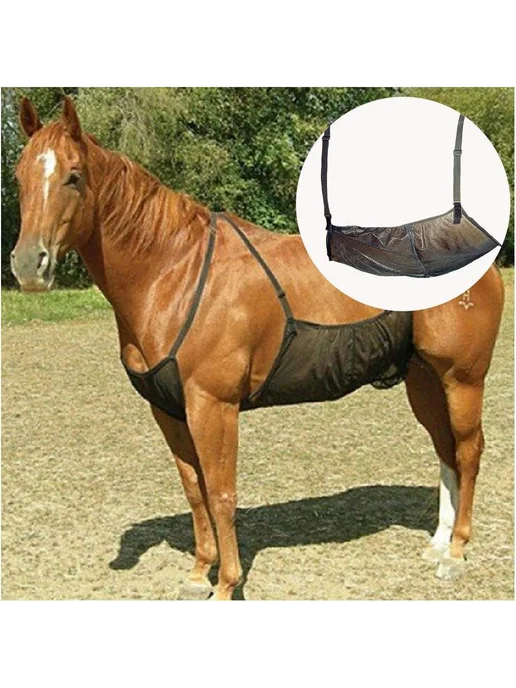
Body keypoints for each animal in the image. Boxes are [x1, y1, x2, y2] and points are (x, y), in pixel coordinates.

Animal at [11, 97, 504, 601]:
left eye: (74, 176)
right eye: (19, 176)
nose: (29, 266)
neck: (174, 273)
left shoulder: (213, 405)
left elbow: (221, 493)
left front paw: (227, 584)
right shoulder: (168, 410)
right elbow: (195, 490)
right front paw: (198, 573)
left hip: (463, 380)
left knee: (469, 452)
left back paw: (457, 552)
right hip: (424, 380)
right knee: (445, 450)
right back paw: (439, 544)